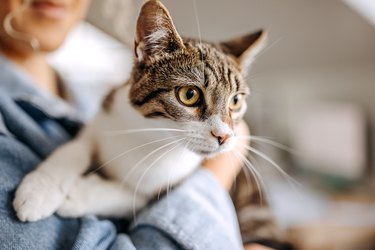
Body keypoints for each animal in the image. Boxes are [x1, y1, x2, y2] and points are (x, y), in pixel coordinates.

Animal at [13, 0, 268, 223]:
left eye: (235, 101)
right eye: (189, 94)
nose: (223, 136)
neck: (149, 134)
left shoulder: (161, 189)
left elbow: (129, 198)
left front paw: (77, 194)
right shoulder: (103, 121)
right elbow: (75, 148)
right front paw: (40, 190)